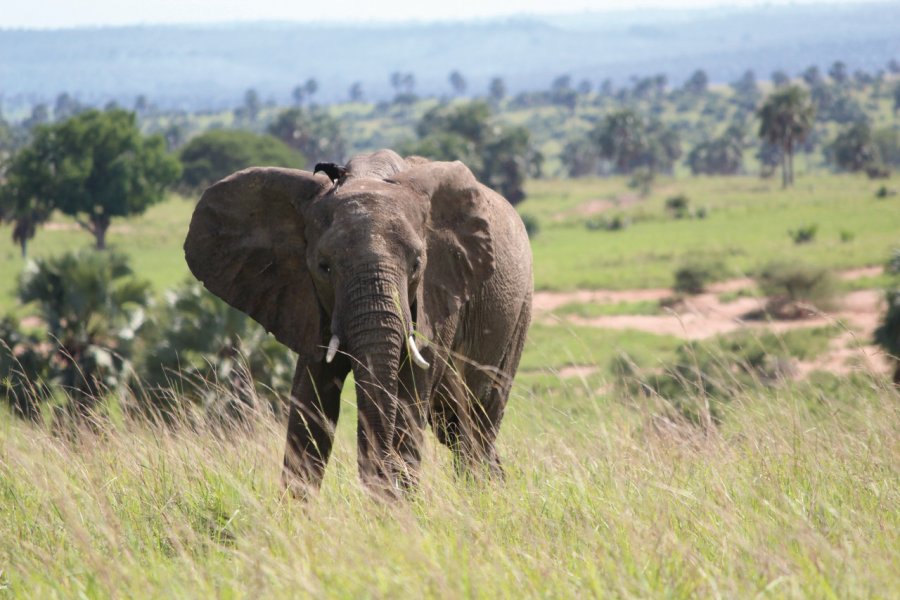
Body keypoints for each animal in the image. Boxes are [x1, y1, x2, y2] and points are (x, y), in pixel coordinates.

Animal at [185, 150, 532, 496]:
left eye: (417, 264)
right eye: (324, 267)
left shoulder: (437, 293)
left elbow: (409, 398)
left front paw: (396, 505)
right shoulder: (307, 299)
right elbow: (310, 403)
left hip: (519, 312)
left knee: (476, 423)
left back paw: (483, 493)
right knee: (454, 425)